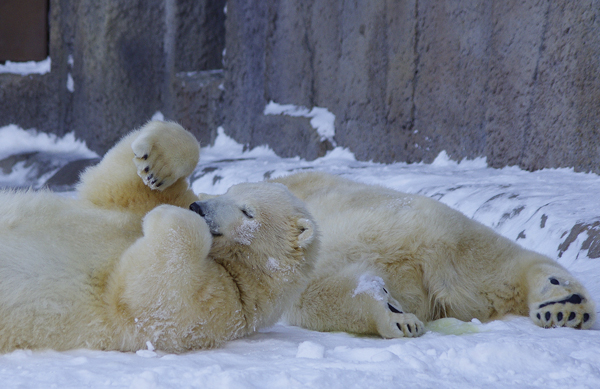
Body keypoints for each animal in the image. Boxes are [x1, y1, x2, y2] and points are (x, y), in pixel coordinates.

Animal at [0, 120, 318, 352]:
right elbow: (113, 183)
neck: (239, 268)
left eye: (247, 212)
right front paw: (155, 163)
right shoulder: (130, 205)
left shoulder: (224, 304)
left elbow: (145, 300)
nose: (199, 208)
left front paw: (164, 217)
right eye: (228, 191)